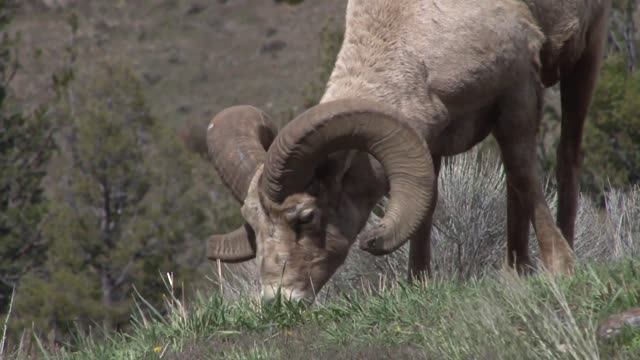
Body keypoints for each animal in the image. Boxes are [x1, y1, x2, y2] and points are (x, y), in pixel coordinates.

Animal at [205, 0, 608, 304]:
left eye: (305, 217)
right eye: (253, 224)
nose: (278, 299)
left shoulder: (518, 94)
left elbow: (524, 176)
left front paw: (559, 267)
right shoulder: (432, 141)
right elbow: (426, 208)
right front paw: (417, 282)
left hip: (588, 52)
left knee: (566, 155)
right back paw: (517, 268)